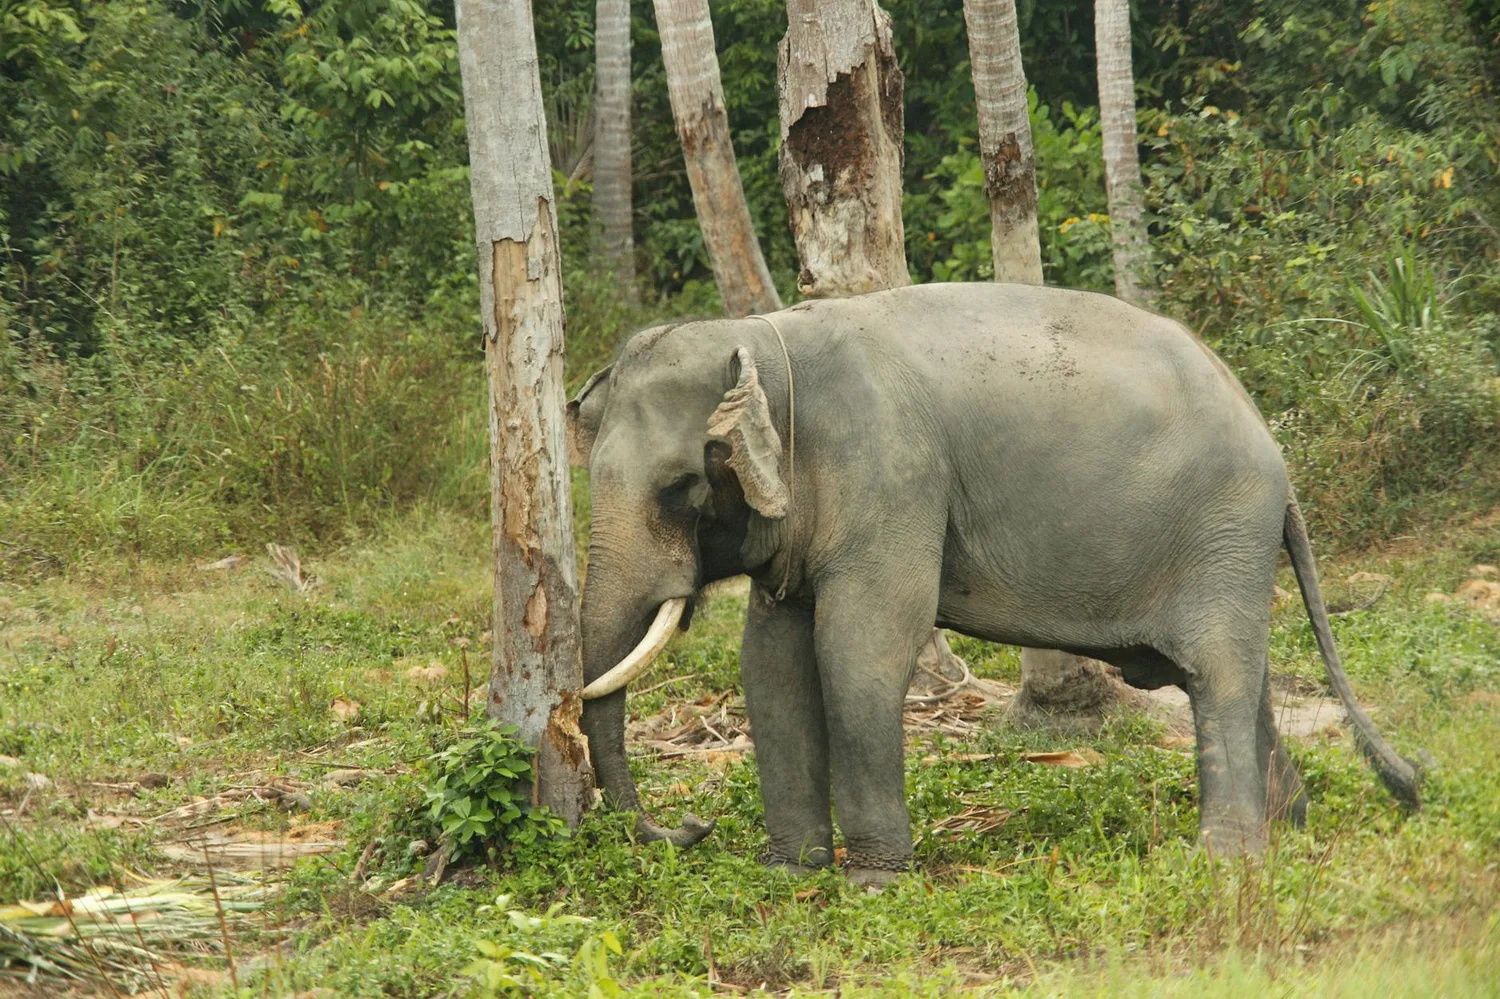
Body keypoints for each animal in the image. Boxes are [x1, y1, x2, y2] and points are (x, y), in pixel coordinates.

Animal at [567, 282, 1421, 887]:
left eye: (679, 488)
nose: (692, 829)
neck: (768, 340)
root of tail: (1277, 456)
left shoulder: (893, 471)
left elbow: (860, 648)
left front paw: (874, 884)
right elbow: (771, 662)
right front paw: (789, 875)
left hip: (1225, 527)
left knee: (1219, 674)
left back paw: (1225, 861)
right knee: (1242, 676)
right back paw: (1291, 825)